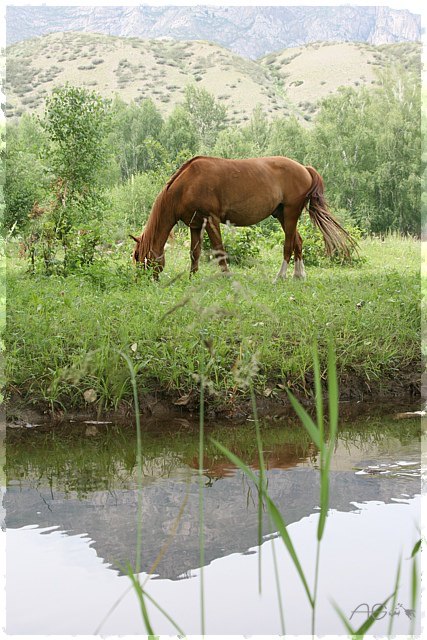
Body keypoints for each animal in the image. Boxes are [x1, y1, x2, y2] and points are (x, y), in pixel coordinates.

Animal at [131, 156, 358, 278]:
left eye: (139, 257)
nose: (143, 280)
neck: (187, 185)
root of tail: (304, 168)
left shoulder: (211, 220)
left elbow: (219, 249)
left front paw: (226, 275)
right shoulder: (195, 225)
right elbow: (194, 253)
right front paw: (192, 277)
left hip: (291, 212)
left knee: (288, 245)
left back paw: (281, 276)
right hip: (282, 215)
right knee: (298, 242)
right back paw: (298, 275)